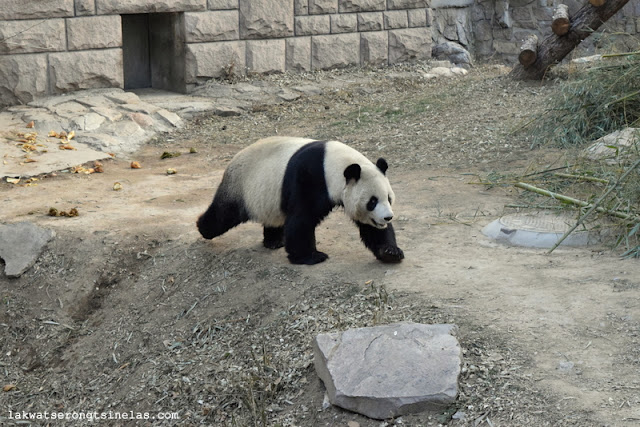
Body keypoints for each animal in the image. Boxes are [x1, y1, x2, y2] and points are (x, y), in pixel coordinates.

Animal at [196, 136, 404, 264]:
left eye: (388, 198)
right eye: (372, 201)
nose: (387, 218)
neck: (331, 163)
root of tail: (233, 160)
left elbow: (370, 228)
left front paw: (390, 252)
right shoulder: (310, 176)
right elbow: (302, 218)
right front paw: (311, 256)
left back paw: (274, 241)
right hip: (241, 186)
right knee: (223, 213)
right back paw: (203, 228)